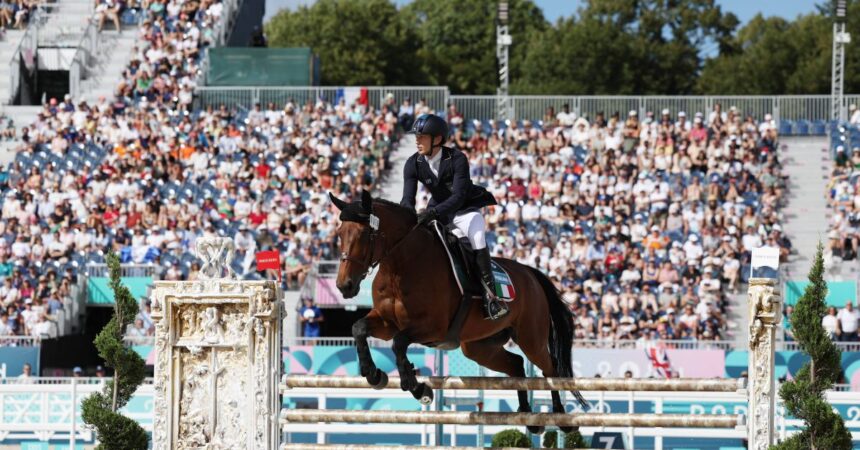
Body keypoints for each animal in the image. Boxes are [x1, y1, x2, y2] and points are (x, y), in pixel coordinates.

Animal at [330, 191, 584, 436]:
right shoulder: (386, 322)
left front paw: (418, 388)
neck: (400, 266)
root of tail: (531, 274)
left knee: (549, 368)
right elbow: (359, 329)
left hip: (531, 339)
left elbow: (399, 342)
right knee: (516, 364)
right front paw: (374, 374)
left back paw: (561, 419)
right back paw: (527, 416)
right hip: (479, 347)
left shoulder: (432, 328)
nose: (345, 286)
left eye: (364, 234)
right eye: (340, 233)